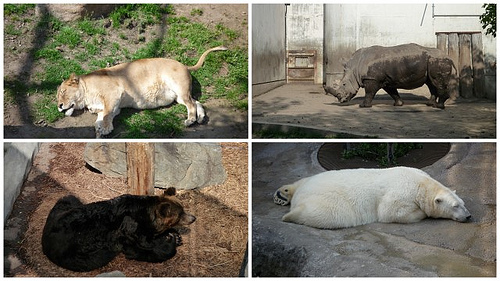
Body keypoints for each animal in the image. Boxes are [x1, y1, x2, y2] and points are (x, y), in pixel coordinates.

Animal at [41, 187, 195, 270]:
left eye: (183, 209)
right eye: (180, 214)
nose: (193, 218)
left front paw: (176, 236)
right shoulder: (132, 227)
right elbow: (144, 242)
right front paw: (167, 240)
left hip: (63, 207)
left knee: (68, 197)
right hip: (79, 245)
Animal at [274, 166, 472, 228]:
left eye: (462, 203)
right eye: (455, 206)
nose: (469, 216)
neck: (421, 184)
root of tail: (302, 194)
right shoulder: (400, 194)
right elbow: (390, 212)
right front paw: (423, 213)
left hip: (312, 180)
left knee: (300, 182)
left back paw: (283, 193)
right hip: (330, 203)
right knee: (321, 215)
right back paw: (288, 215)